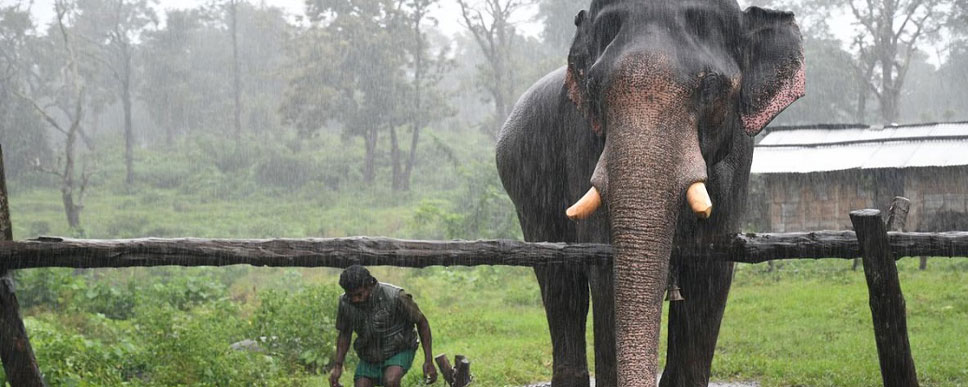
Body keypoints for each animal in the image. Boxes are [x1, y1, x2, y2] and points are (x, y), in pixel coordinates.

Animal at [496, 1, 804, 386]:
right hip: (526, 192)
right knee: (560, 282)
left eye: (711, 87)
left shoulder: (737, 163)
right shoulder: (583, 144)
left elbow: (710, 271)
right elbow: (605, 269)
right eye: (594, 86)